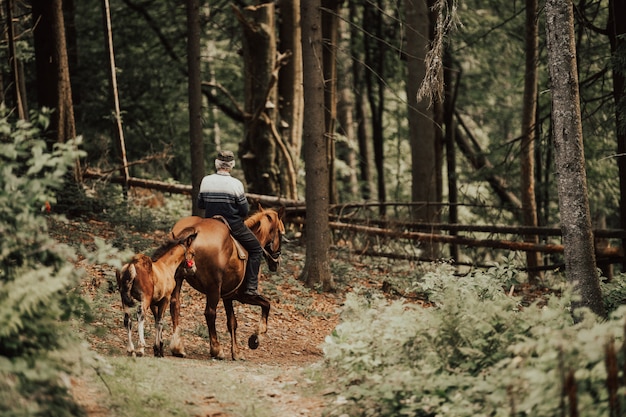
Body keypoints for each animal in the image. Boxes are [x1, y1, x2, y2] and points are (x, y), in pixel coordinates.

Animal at [114, 226, 196, 356]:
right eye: (192, 253)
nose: (194, 269)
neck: (166, 266)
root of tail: (131, 264)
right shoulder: (165, 298)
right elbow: (160, 321)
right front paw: (159, 349)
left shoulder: (153, 302)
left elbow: (156, 320)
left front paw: (157, 349)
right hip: (145, 298)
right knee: (140, 314)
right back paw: (140, 347)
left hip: (124, 298)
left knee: (127, 320)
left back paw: (130, 349)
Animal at [168, 206, 286, 360]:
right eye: (281, 234)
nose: (276, 263)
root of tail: (196, 229)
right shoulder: (243, 295)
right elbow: (266, 304)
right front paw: (255, 338)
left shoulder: (228, 296)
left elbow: (232, 323)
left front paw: (236, 352)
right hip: (213, 288)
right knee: (210, 313)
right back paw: (217, 349)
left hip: (178, 279)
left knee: (175, 305)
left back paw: (177, 347)